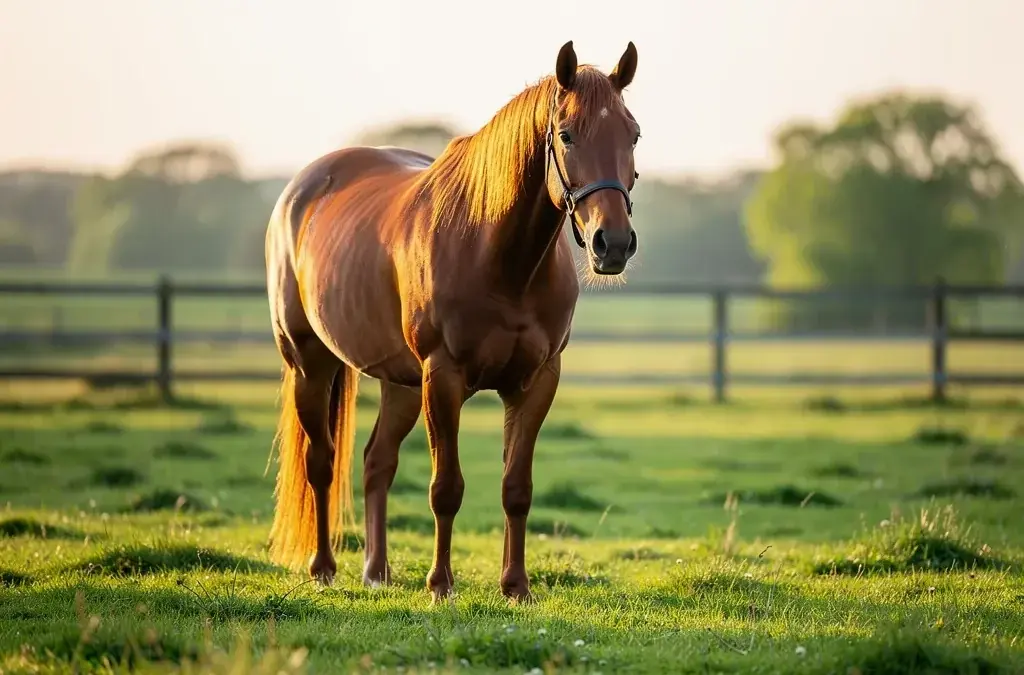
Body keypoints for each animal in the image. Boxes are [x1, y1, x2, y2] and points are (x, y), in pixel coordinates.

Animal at [264, 40, 641, 603]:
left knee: (377, 462)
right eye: (567, 134)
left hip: (400, 382)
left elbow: (516, 488)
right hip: (312, 365)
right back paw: (324, 567)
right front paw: (440, 584)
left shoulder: (535, 382)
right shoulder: (443, 377)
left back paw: (377, 571)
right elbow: (446, 489)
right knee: (322, 462)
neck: (500, 259)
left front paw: (516, 586)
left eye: (633, 133)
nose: (612, 244)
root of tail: (302, 189)